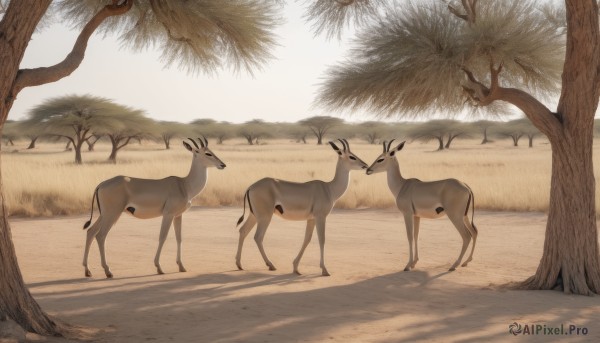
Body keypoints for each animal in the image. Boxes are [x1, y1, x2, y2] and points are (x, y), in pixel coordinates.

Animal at [82, 136, 225, 278]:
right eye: (207, 153)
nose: (222, 165)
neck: (184, 185)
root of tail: (101, 184)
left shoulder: (178, 215)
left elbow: (179, 238)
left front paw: (181, 266)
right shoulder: (168, 214)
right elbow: (162, 237)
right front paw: (159, 267)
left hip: (105, 214)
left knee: (90, 231)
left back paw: (87, 270)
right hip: (112, 214)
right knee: (100, 236)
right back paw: (108, 271)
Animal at [236, 138, 368, 276]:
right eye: (352, 156)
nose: (365, 165)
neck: (329, 188)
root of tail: (250, 187)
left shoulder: (311, 219)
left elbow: (307, 239)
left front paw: (296, 267)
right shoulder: (320, 217)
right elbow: (322, 239)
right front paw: (324, 269)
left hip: (254, 216)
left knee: (243, 231)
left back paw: (239, 264)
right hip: (265, 217)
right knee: (258, 237)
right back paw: (270, 265)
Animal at [366, 140, 478, 272]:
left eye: (381, 159)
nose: (368, 170)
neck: (402, 185)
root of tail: (465, 185)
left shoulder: (407, 214)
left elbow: (409, 236)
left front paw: (408, 265)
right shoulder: (416, 216)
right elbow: (416, 236)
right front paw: (414, 263)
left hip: (455, 216)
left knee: (466, 236)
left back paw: (454, 265)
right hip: (465, 216)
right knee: (474, 232)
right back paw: (466, 262)